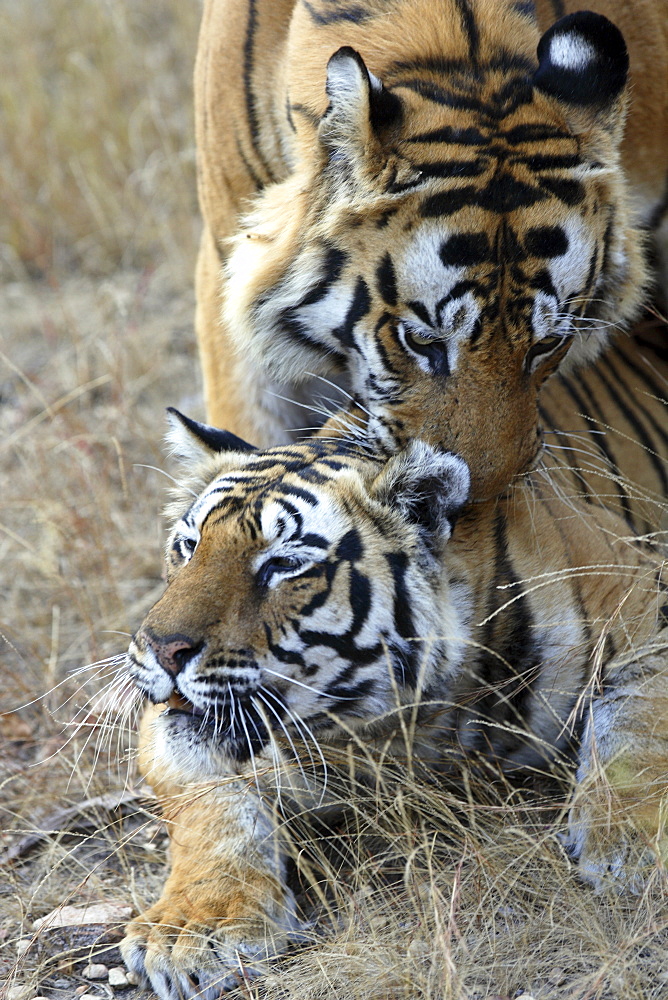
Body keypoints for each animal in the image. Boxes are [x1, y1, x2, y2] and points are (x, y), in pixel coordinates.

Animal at [121, 378, 668, 996]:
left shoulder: (644, 591)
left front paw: (630, 847)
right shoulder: (172, 732)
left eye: (283, 564)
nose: (161, 647)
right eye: (189, 546)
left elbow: (639, 717)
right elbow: (209, 805)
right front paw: (194, 929)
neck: (399, 732)